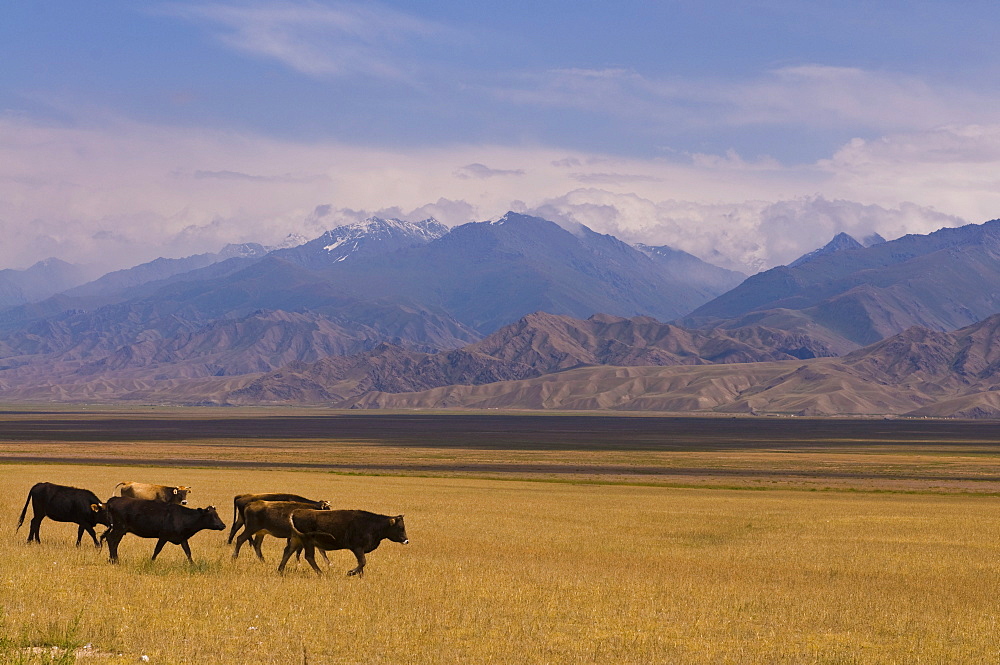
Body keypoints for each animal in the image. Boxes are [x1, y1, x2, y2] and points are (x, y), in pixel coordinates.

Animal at [280, 508, 408, 576]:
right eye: (400, 528)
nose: (406, 541)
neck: (372, 524)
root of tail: (297, 511)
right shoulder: (357, 548)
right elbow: (362, 562)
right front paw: (350, 572)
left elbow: (361, 564)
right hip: (307, 541)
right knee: (309, 557)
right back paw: (321, 573)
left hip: (297, 539)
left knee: (288, 551)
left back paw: (280, 570)